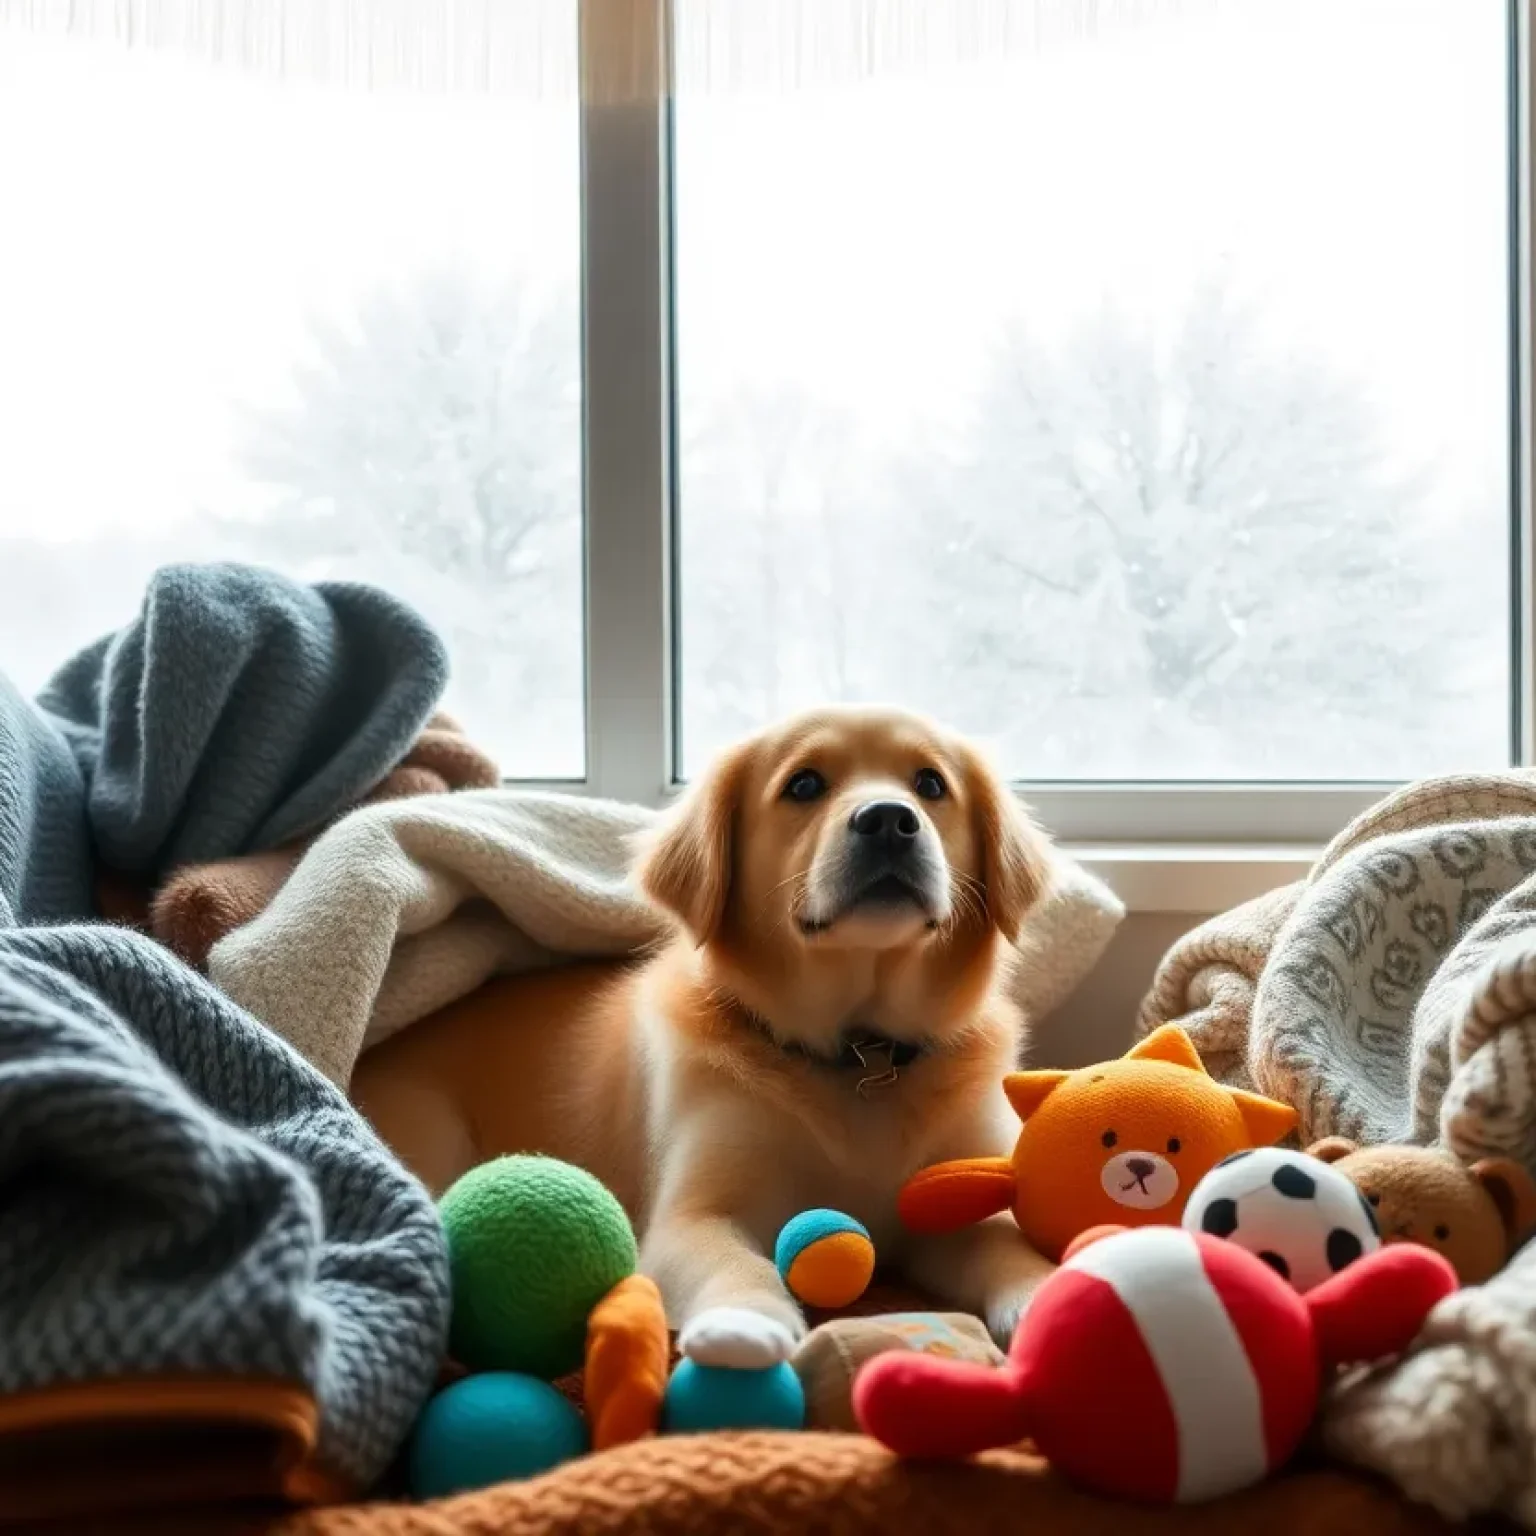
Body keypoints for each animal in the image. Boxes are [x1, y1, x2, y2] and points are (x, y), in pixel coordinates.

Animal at [353, 706, 1062, 1370]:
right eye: (805, 784)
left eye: (930, 784)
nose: (889, 820)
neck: (860, 1056)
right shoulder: (689, 1217)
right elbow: (736, 1263)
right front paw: (744, 1322)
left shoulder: (956, 1193)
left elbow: (1008, 1245)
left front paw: (1050, 1294)